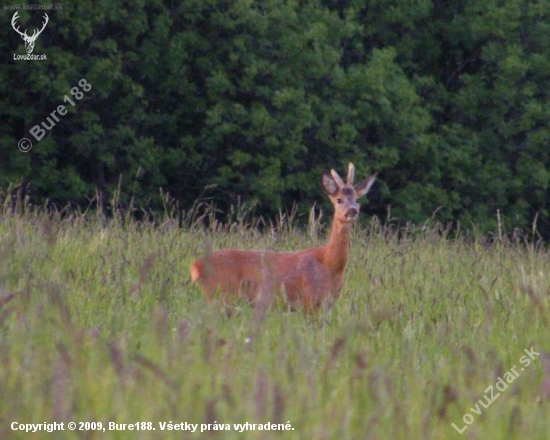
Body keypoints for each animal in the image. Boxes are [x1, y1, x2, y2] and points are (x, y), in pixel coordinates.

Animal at [189, 163, 376, 312]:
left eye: (357, 199)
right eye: (338, 199)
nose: (352, 211)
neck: (330, 265)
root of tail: (195, 266)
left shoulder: (327, 305)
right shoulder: (308, 301)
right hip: (222, 295)